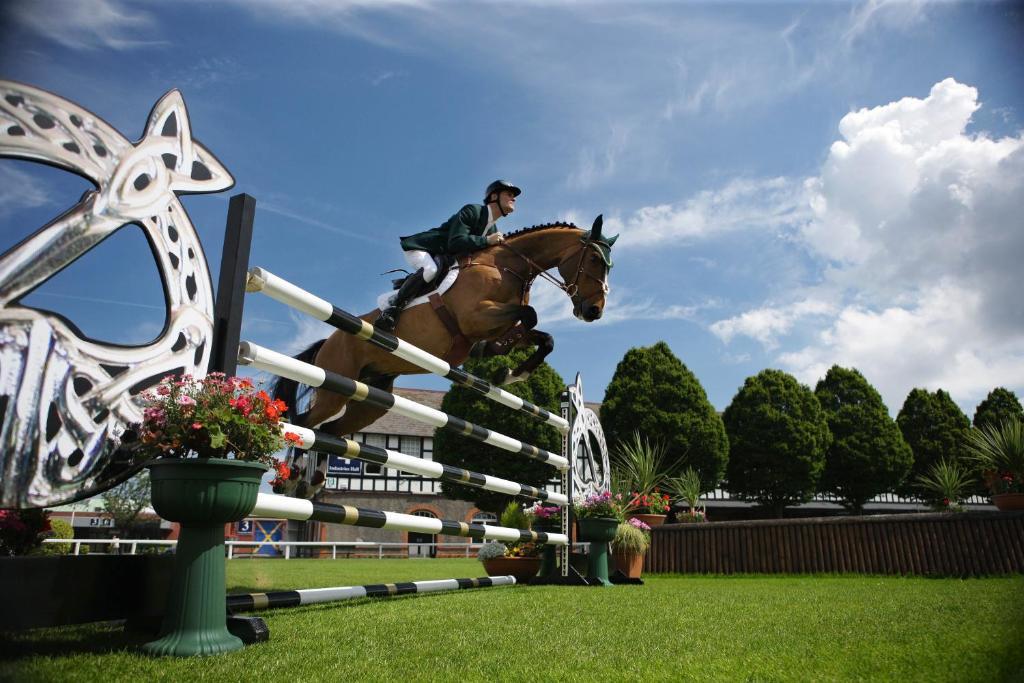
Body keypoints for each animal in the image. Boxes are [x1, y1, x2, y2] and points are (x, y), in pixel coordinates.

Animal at [272, 216, 614, 493]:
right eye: (595, 260)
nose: (593, 311)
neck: (507, 266)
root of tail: (329, 340)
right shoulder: (475, 316)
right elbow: (529, 315)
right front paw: (502, 362)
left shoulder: (495, 322)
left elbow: (544, 337)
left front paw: (510, 371)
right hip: (336, 386)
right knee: (305, 422)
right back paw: (292, 478)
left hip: (370, 399)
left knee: (328, 430)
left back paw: (313, 482)